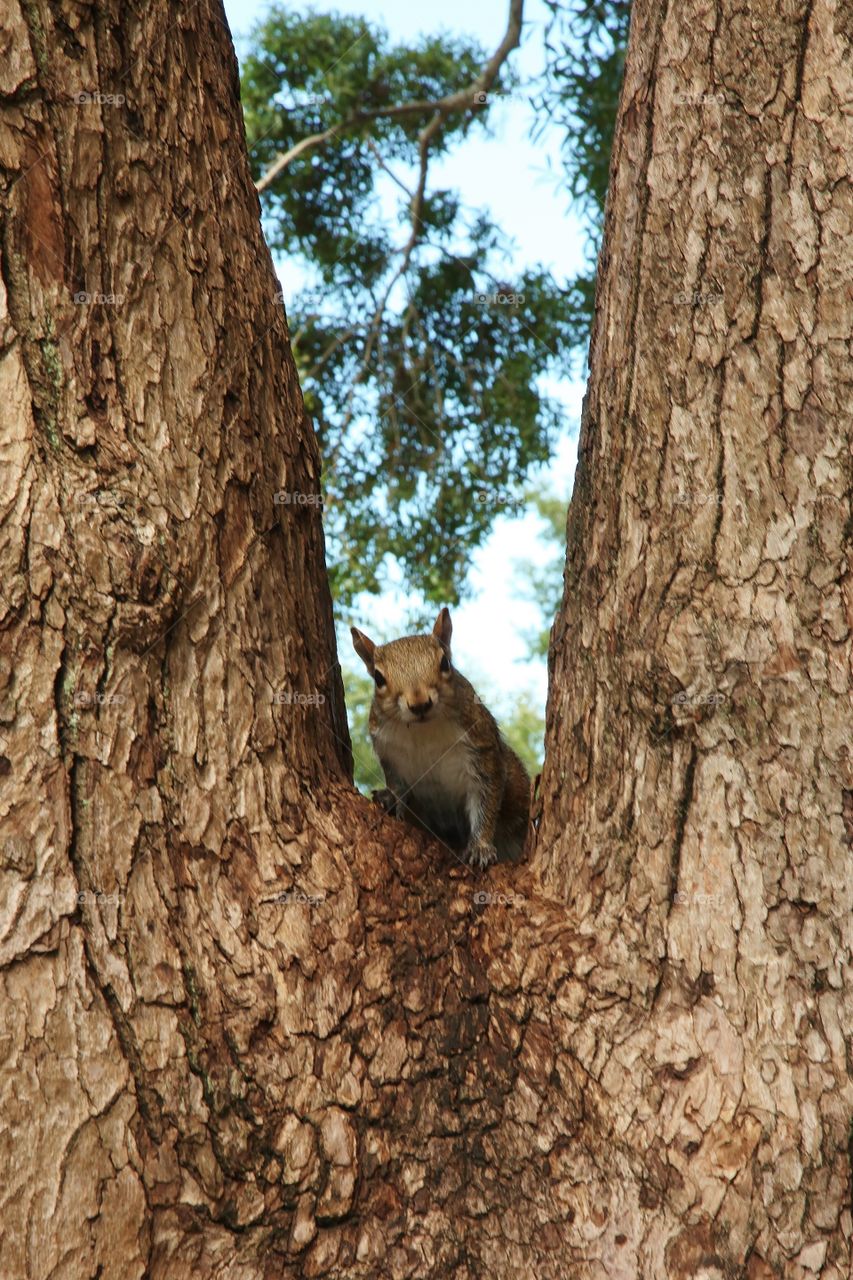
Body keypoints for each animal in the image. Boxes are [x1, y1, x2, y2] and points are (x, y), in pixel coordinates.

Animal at [348, 606, 527, 870]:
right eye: (378, 678)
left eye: (445, 663)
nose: (420, 704)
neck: (422, 731)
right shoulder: (390, 758)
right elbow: (400, 791)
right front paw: (397, 806)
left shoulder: (480, 748)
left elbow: (486, 797)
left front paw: (480, 848)